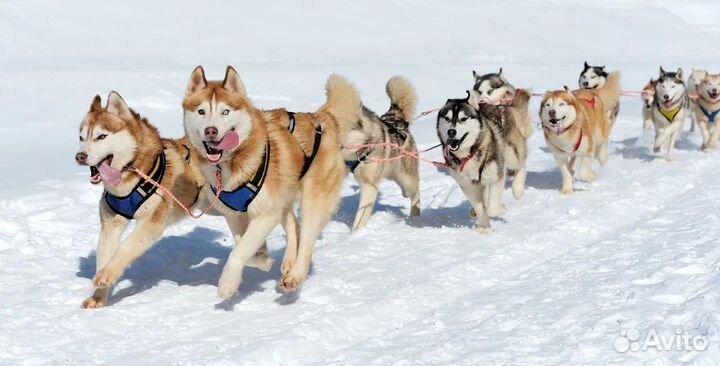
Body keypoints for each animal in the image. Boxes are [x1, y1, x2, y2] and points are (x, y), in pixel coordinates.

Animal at [76, 92, 205, 308]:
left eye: (101, 136)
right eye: (81, 137)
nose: (80, 156)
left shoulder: (151, 223)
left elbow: (125, 247)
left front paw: (107, 274)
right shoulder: (111, 224)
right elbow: (105, 255)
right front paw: (98, 296)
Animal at [181, 66, 358, 296]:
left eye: (225, 112)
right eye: (201, 112)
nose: (211, 130)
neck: (231, 163)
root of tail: (321, 117)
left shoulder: (266, 214)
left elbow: (238, 252)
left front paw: (228, 283)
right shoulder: (234, 214)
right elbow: (244, 246)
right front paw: (262, 259)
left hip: (313, 200)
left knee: (307, 238)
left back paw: (296, 275)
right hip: (284, 196)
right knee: (294, 227)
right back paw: (288, 261)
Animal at [342, 76, 422, 232]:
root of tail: (395, 118)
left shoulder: (369, 186)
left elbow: (360, 217)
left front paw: (355, 234)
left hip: (406, 178)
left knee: (415, 195)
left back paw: (414, 218)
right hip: (393, 173)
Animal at [436, 92, 504, 234]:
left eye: (463, 119)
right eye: (447, 118)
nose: (451, 131)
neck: (469, 154)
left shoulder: (496, 175)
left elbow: (492, 206)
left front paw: (499, 210)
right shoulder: (467, 185)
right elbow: (479, 206)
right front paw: (484, 227)